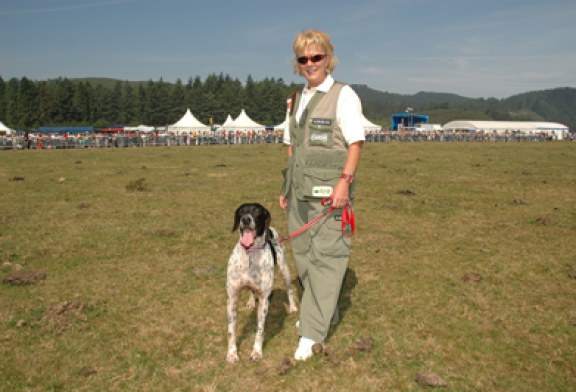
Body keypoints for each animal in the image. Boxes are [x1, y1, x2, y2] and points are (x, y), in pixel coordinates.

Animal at [226, 204, 296, 362]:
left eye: (257, 211)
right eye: (241, 211)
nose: (246, 219)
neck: (250, 253)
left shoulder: (264, 300)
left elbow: (260, 330)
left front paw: (257, 352)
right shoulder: (232, 299)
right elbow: (231, 331)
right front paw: (232, 354)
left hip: (284, 269)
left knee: (289, 289)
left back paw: (293, 306)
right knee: (252, 291)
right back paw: (251, 302)